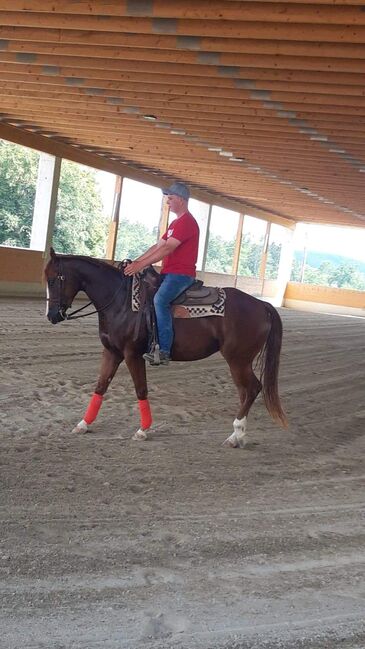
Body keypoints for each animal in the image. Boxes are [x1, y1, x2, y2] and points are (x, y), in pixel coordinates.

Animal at [44, 247, 286, 446]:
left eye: (53, 280)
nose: (52, 316)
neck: (120, 302)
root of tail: (262, 305)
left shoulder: (133, 354)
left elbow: (141, 389)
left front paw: (143, 430)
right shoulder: (111, 352)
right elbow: (101, 386)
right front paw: (83, 424)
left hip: (238, 359)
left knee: (252, 388)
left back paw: (235, 435)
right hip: (239, 362)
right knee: (245, 392)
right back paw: (239, 434)